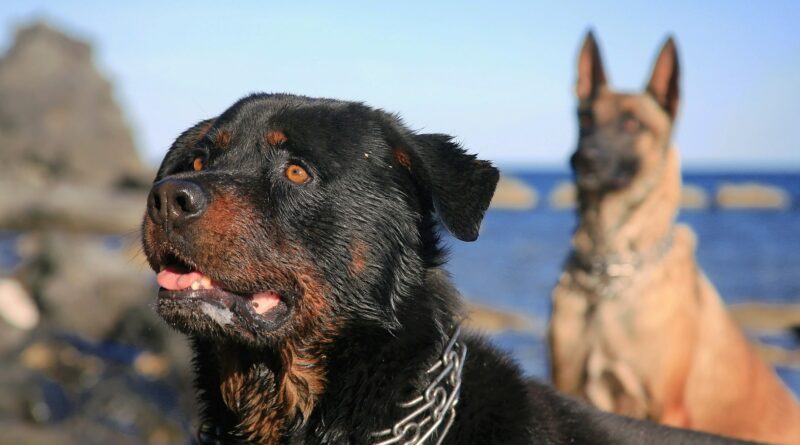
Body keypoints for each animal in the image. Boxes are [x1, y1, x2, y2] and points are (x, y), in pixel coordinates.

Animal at [548, 32, 800, 444]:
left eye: (633, 123)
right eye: (585, 119)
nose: (583, 159)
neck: (610, 272)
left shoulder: (666, 407)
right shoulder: (568, 386)